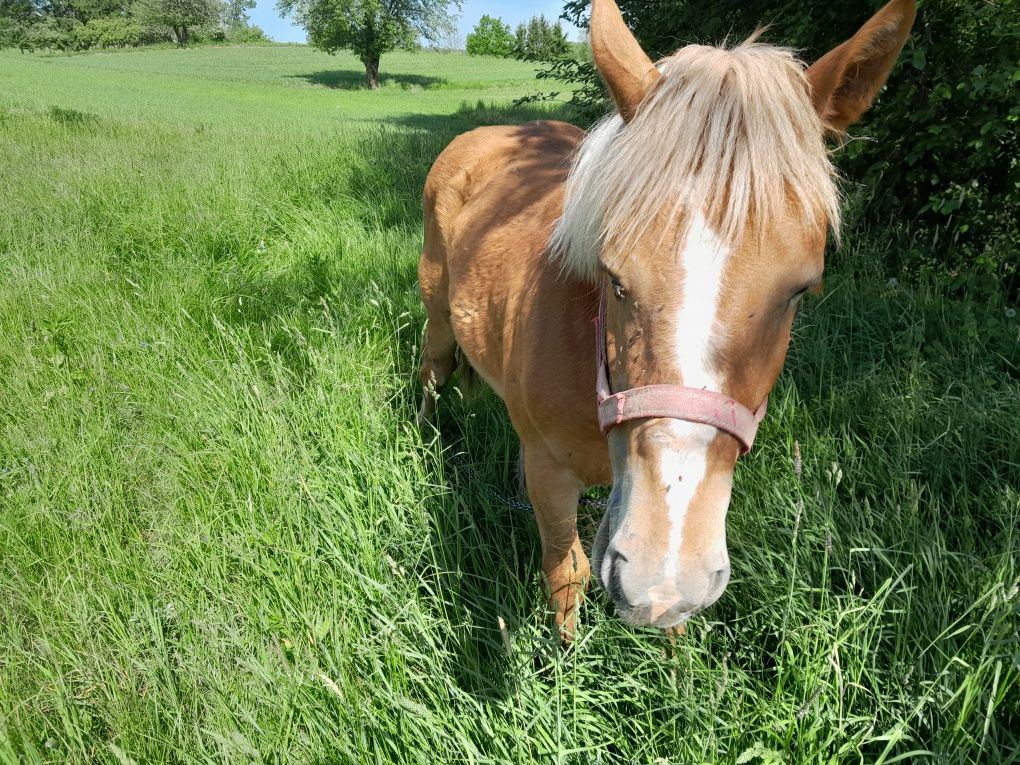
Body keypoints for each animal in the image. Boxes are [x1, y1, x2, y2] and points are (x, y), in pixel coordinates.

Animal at [414, 0, 918, 636]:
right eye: (614, 278)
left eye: (800, 290)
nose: (663, 578)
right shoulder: (551, 477)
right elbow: (567, 573)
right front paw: (561, 660)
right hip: (437, 317)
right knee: (432, 375)